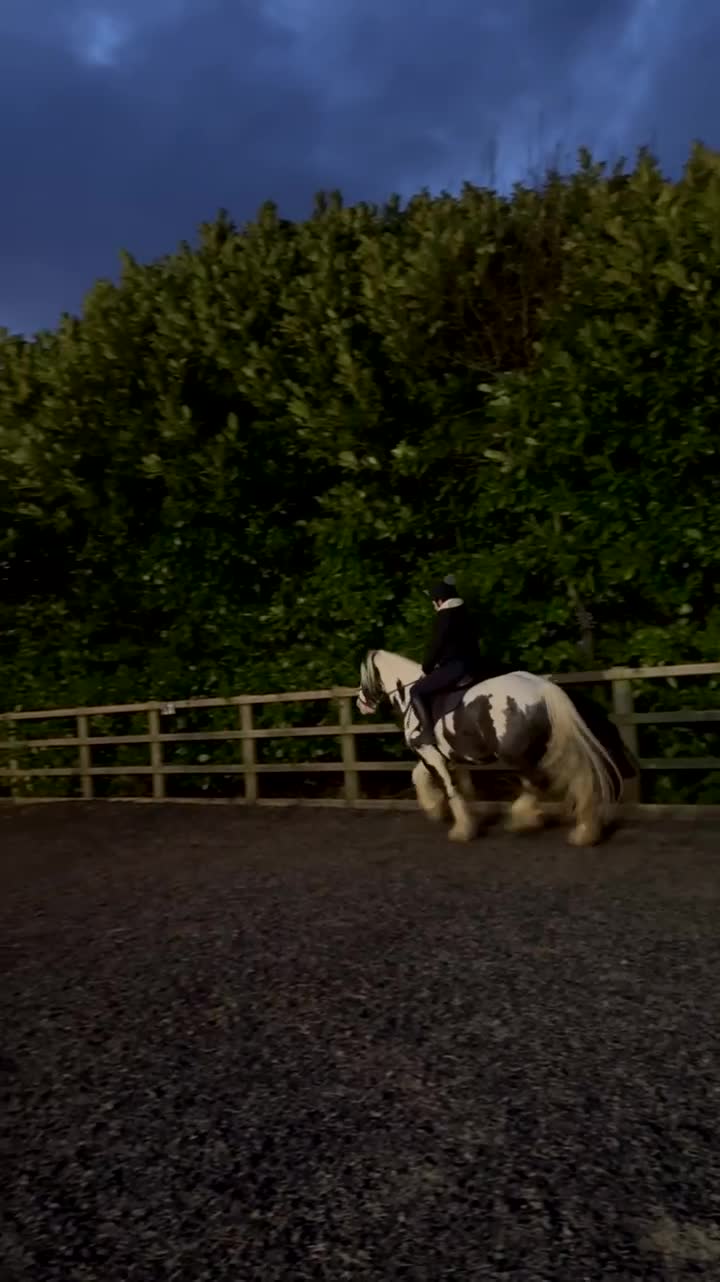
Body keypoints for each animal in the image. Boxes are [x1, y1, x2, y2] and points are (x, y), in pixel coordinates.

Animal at [356, 649, 636, 845]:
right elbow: (421, 776)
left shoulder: (430, 754)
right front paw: (435, 808)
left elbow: (449, 787)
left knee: (538, 782)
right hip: (546, 747)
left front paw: (461, 828)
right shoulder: (440, 754)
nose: (361, 704)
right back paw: (584, 832)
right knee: (576, 777)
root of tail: (543, 688)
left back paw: (523, 819)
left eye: (363, 675)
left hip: (518, 754)